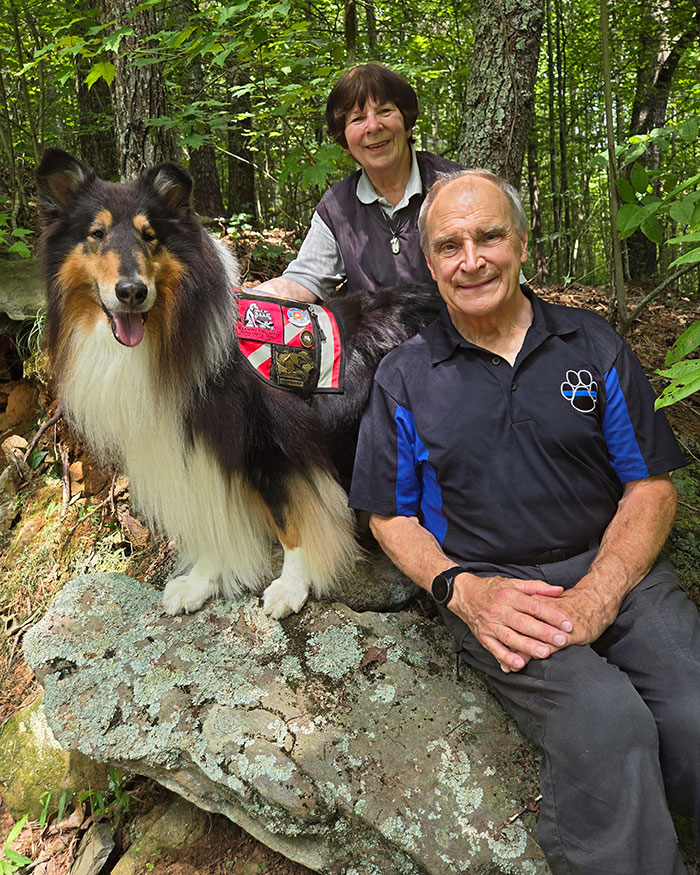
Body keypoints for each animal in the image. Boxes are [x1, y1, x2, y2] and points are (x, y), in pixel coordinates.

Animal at [35, 147, 440, 620]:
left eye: (150, 235)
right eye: (96, 234)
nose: (131, 292)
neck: (176, 336)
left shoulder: (276, 447)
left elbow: (289, 521)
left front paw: (291, 586)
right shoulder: (197, 450)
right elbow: (214, 523)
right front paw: (200, 583)